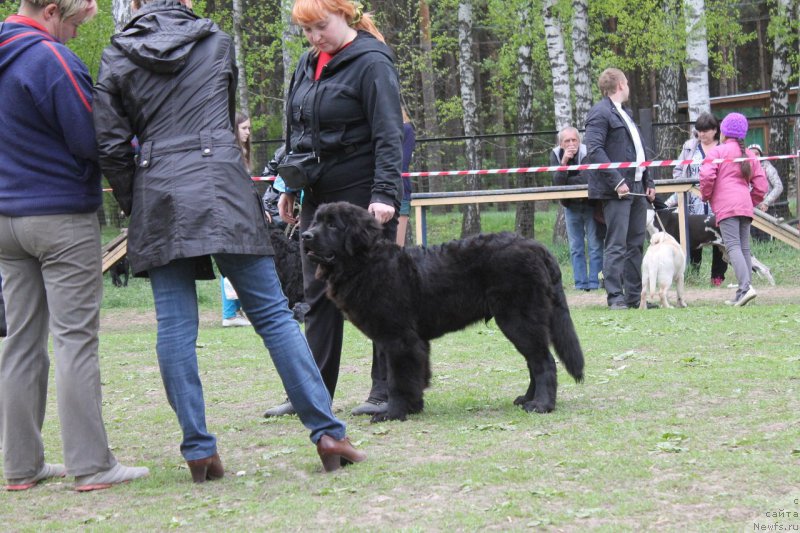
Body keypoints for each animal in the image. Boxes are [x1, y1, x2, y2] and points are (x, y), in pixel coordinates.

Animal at [304, 202, 584, 422]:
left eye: (333, 225)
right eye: (316, 222)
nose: (305, 235)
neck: (364, 264)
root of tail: (537, 247)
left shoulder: (399, 340)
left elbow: (398, 380)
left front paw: (392, 413)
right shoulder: (405, 342)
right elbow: (414, 377)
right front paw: (413, 407)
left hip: (519, 319)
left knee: (543, 362)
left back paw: (541, 405)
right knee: (533, 361)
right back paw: (526, 398)